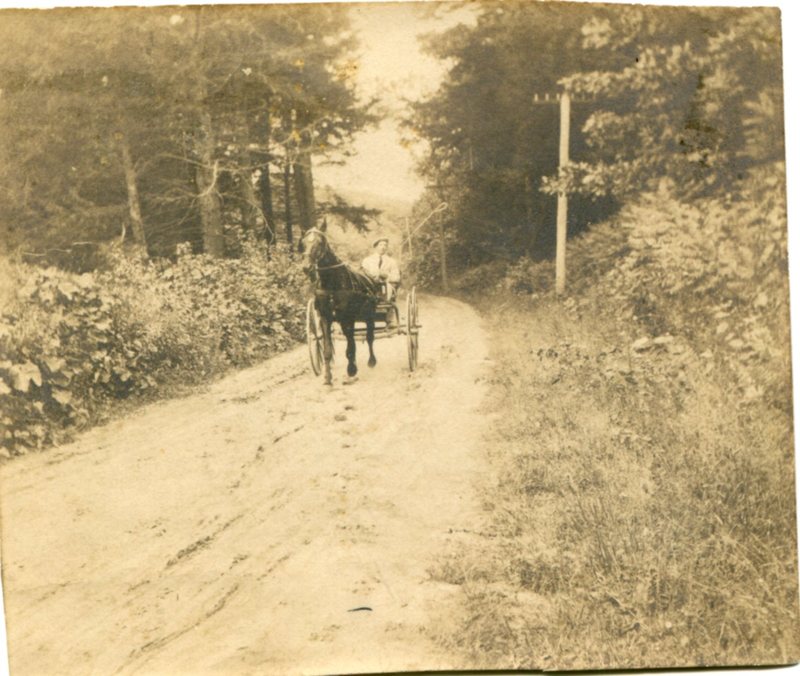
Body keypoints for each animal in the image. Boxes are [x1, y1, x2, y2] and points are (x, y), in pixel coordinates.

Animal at [302, 224, 382, 386]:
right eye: (303, 242)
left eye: (320, 243)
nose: (306, 267)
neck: (332, 283)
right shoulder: (325, 317)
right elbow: (327, 349)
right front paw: (327, 378)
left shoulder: (347, 317)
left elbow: (351, 346)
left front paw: (351, 370)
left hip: (369, 315)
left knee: (369, 337)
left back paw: (371, 361)